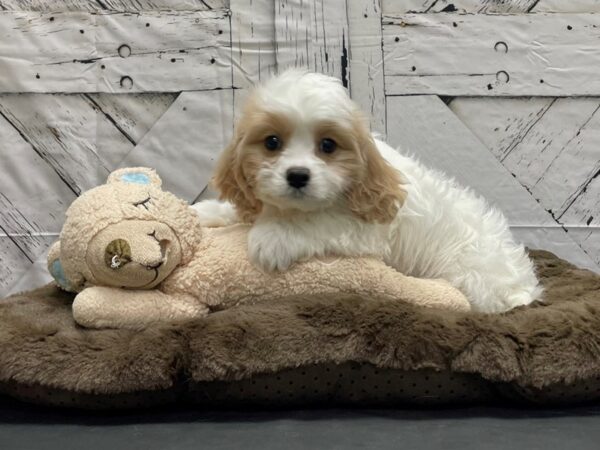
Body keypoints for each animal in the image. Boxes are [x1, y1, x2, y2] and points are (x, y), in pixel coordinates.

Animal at [195, 69, 540, 312]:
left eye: (328, 146)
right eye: (272, 142)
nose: (297, 175)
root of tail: (525, 286)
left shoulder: (365, 229)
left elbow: (317, 222)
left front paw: (274, 237)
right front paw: (207, 212)